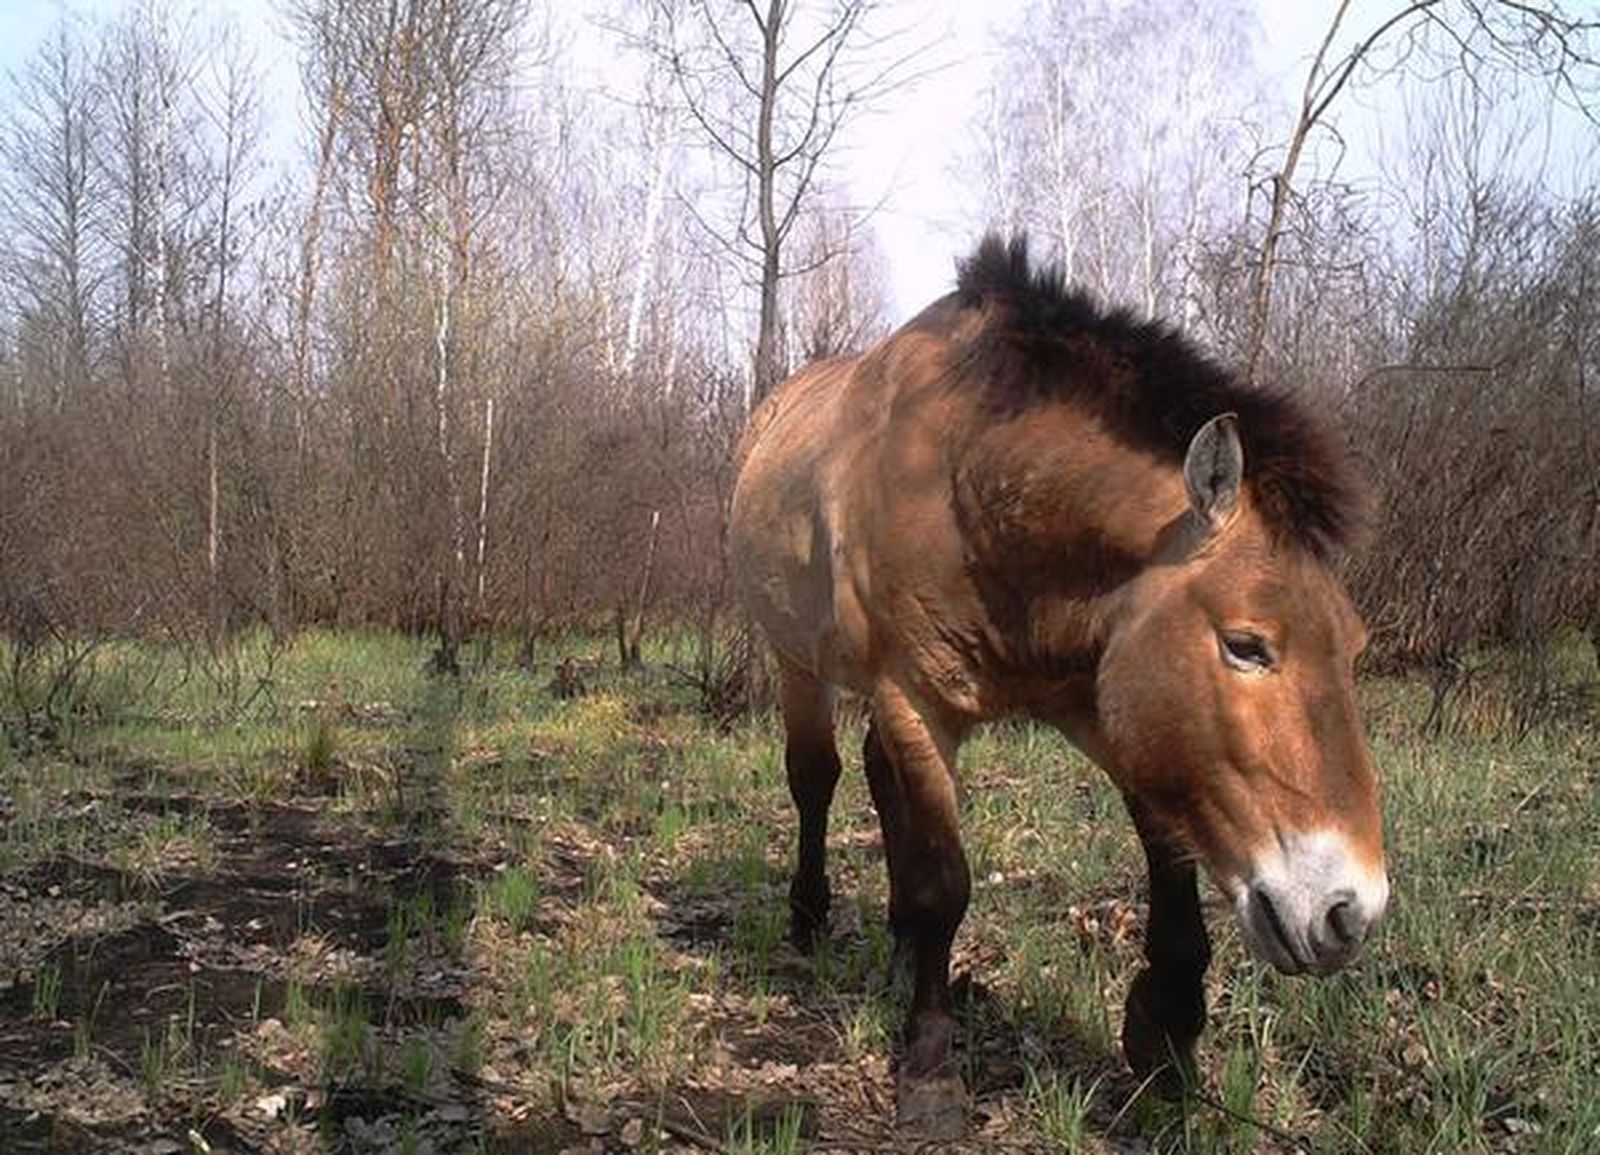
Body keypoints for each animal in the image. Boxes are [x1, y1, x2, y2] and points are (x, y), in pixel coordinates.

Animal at [728, 235, 1390, 1136]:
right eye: (1247, 644)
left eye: (1353, 645)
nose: (1349, 911)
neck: (972, 485)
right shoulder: (918, 700)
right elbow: (942, 884)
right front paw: (930, 1068)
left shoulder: (1110, 705)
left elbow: (1172, 876)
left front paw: (1167, 1040)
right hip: (797, 660)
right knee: (817, 780)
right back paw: (808, 916)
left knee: (877, 779)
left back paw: (898, 956)